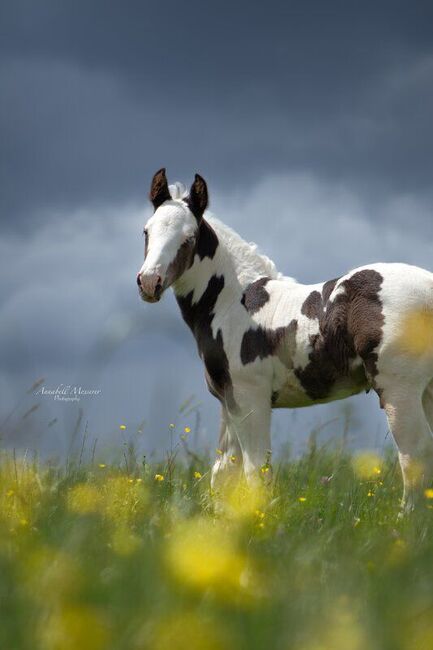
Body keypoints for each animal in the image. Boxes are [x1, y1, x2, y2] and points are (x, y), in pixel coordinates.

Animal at [137, 167, 432, 506]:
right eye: (146, 232)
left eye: (189, 239)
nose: (149, 282)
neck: (232, 302)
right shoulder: (229, 401)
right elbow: (224, 473)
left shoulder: (251, 398)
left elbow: (255, 472)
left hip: (399, 389)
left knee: (414, 453)